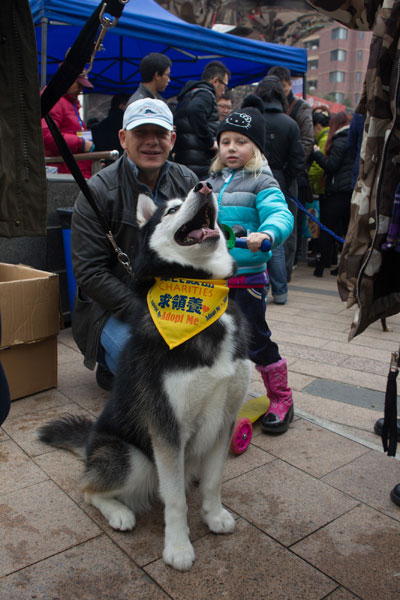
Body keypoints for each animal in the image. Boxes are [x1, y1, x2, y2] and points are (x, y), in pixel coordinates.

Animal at [37, 183, 250, 572]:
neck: (198, 292)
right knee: (88, 489)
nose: (205, 185)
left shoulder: (225, 418)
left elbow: (214, 481)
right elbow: (175, 501)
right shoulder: (166, 426)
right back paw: (119, 513)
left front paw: (214, 516)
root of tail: (90, 443)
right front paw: (178, 548)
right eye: (171, 210)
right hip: (133, 458)